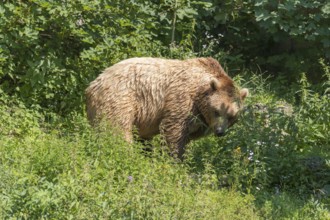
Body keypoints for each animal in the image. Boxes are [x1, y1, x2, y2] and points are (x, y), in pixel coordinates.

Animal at [85, 57, 248, 159]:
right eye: (216, 110)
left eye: (232, 116)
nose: (220, 131)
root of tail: (93, 84)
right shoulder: (181, 100)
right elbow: (173, 131)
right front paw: (175, 159)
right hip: (120, 98)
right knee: (116, 129)